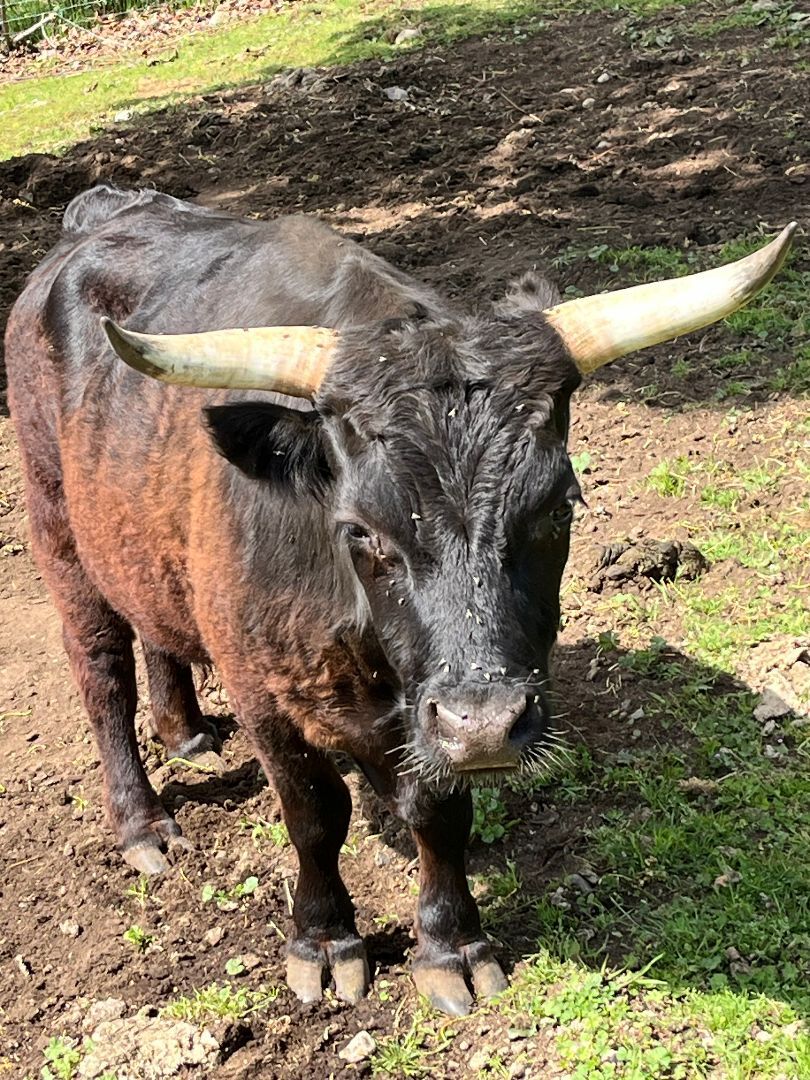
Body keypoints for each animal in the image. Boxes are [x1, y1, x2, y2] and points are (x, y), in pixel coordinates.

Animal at [5, 184, 794, 1015]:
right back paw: (143, 824)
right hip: (58, 531)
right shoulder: (263, 693)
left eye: (560, 506)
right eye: (361, 529)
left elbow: (438, 812)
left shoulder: (427, 715)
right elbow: (314, 814)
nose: (486, 725)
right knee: (102, 676)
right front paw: (324, 940)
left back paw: (185, 730)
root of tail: (104, 212)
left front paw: (451, 944)